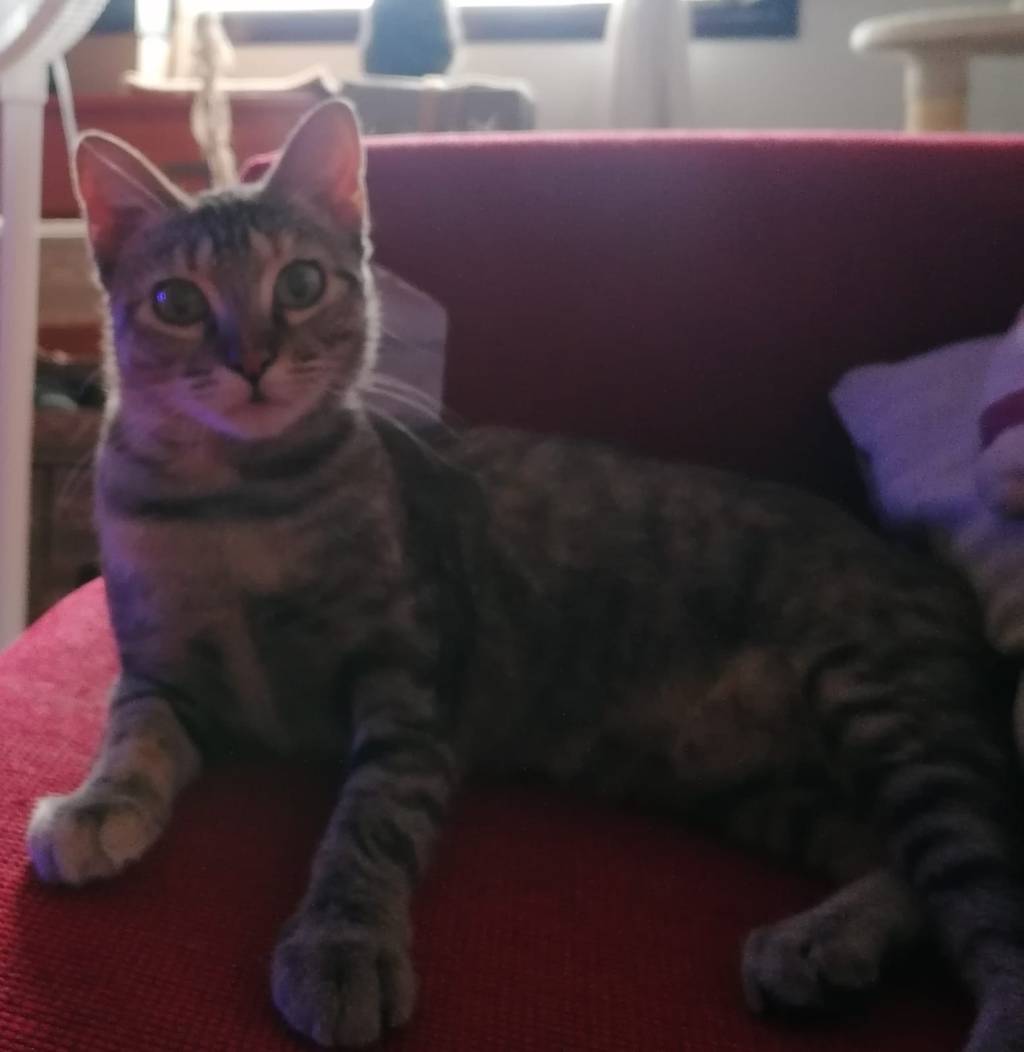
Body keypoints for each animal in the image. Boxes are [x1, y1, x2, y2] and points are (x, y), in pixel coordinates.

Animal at [24, 100, 1024, 1051]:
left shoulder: (413, 685)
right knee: (907, 871)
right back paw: (820, 945)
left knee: (984, 877)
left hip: (887, 707)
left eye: (300, 284)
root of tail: (927, 569)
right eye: (176, 300)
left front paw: (342, 942)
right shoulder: (161, 671)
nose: (251, 359)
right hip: (768, 793)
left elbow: (368, 823)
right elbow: (132, 738)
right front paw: (96, 804)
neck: (237, 499)